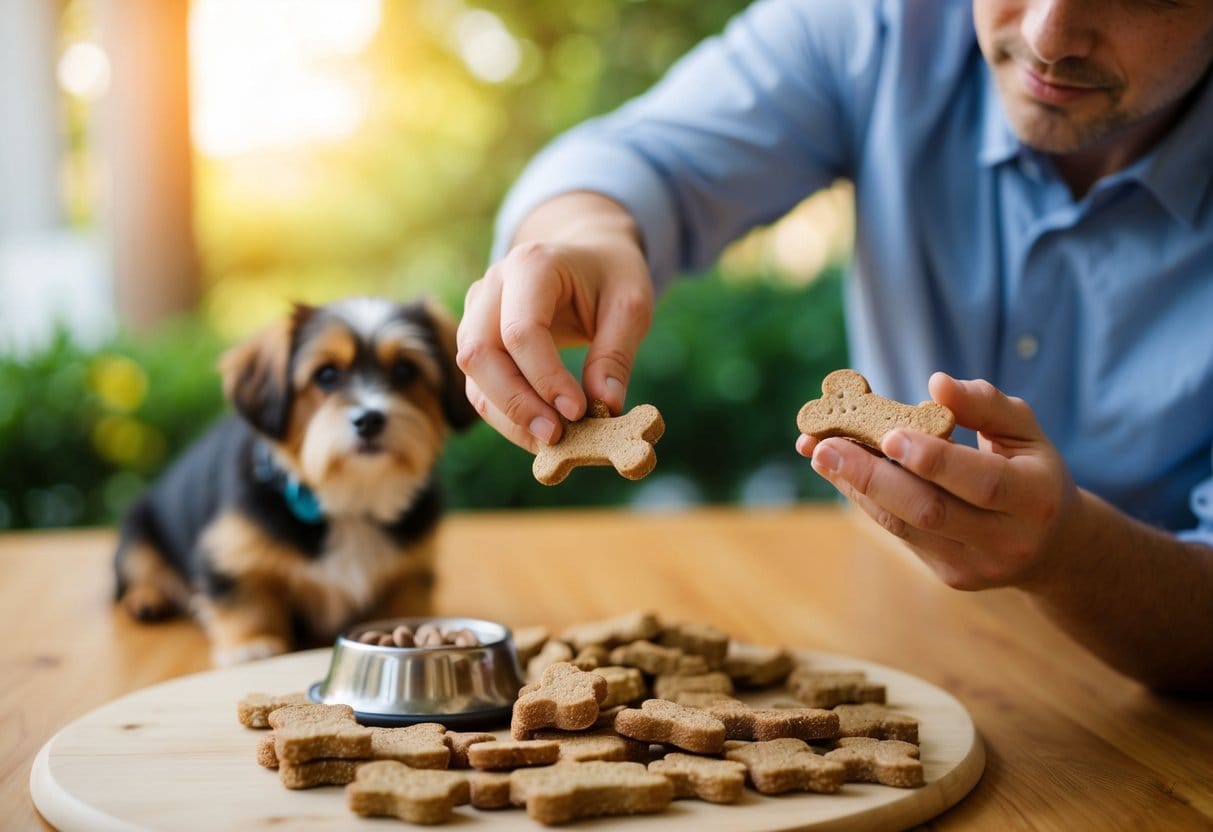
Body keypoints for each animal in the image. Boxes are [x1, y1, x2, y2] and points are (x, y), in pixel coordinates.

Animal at [111, 297, 475, 669]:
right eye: (326, 374)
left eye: (405, 370)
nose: (369, 420)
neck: (349, 497)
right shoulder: (228, 550)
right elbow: (244, 597)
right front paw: (252, 642)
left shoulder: (411, 569)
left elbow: (406, 600)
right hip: (138, 527)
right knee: (134, 573)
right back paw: (146, 599)